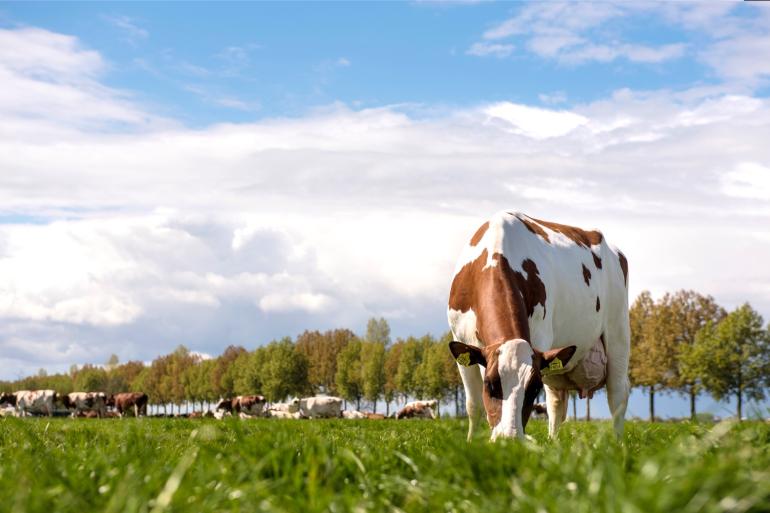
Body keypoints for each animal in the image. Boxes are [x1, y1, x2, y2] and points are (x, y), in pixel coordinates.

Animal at [444, 212, 632, 440]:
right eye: (490, 384)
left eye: (533, 389)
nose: (509, 439)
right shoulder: (460, 337)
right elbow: (474, 405)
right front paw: (471, 442)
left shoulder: (541, 337)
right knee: (557, 402)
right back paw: (553, 441)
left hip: (618, 331)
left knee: (617, 394)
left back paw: (618, 443)